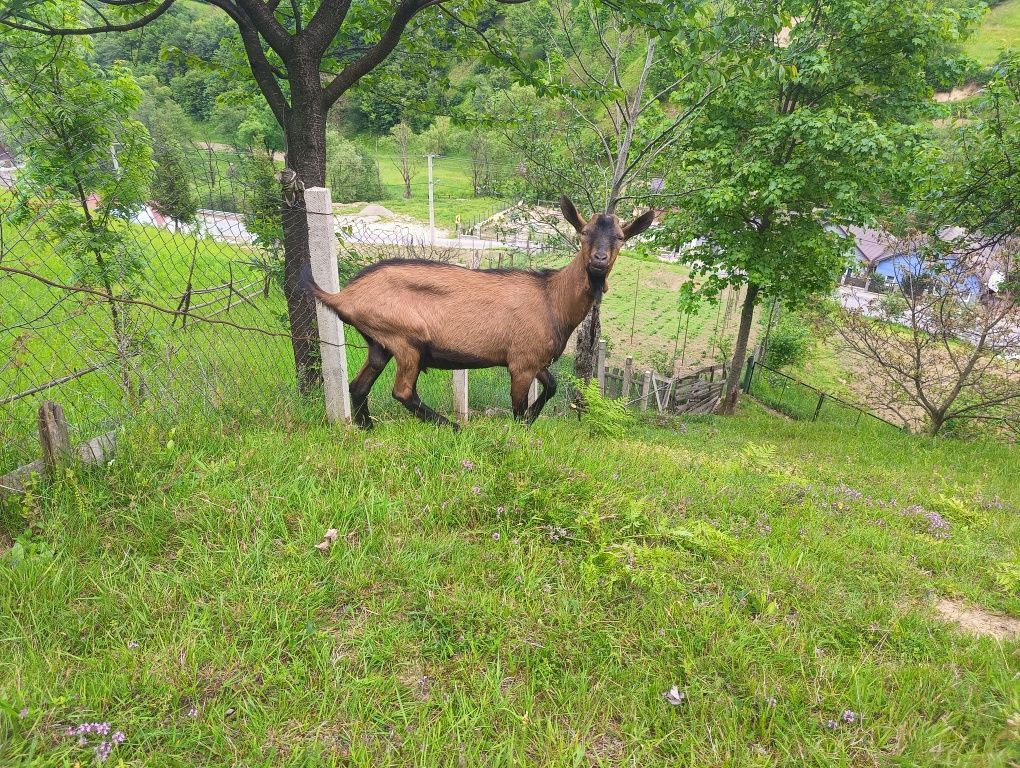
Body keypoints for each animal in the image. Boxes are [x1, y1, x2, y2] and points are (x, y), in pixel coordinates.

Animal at [301, 194, 652, 428]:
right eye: (584, 233)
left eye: (620, 238)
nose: (599, 260)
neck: (551, 298)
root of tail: (345, 295)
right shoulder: (522, 362)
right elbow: (517, 407)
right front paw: (520, 431)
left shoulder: (532, 357)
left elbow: (551, 386)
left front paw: (532, 419)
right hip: (405, 339)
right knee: (403, 392)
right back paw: (452, 426)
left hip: (379, 343)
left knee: (359, 385)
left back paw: (368, 427)